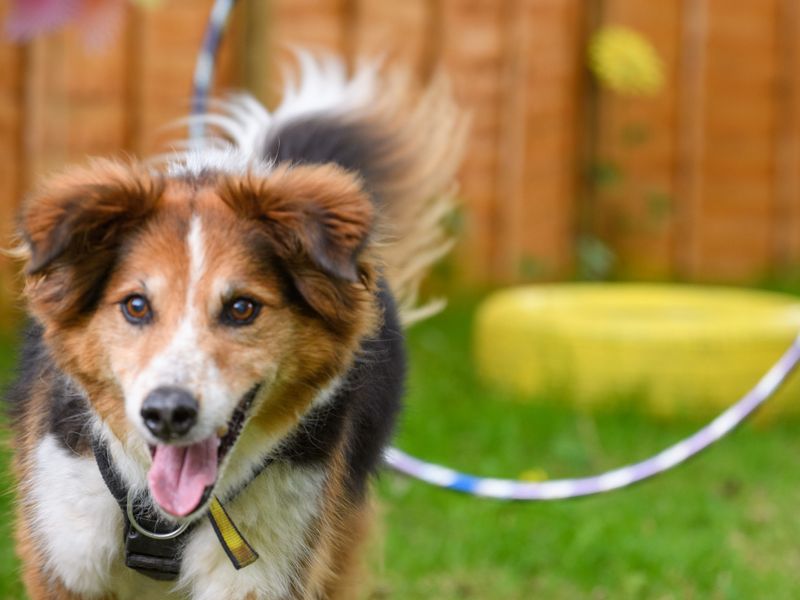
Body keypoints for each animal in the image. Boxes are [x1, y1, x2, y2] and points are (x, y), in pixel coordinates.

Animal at [6, 54, 462, 596]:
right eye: (136, 306)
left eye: (242, 309)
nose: (167, 413)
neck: (164, 516)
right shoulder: (65, 554)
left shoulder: (275, 562)